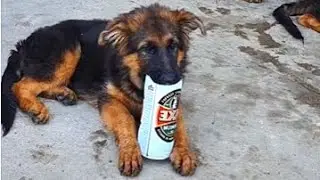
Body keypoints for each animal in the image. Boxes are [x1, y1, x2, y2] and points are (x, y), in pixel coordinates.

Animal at [0, 3, 205, 176]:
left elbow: (179, 125)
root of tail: (24, 43)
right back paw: (36, 107)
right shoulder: (108, 99)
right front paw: (130, 151)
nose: (172, 79)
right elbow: (125, 119)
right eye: (147, 49)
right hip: (69, 50)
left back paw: (63, 94)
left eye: (173, 46)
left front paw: (184, 152)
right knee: (21, 85)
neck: (137, 83)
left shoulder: (175, 101)